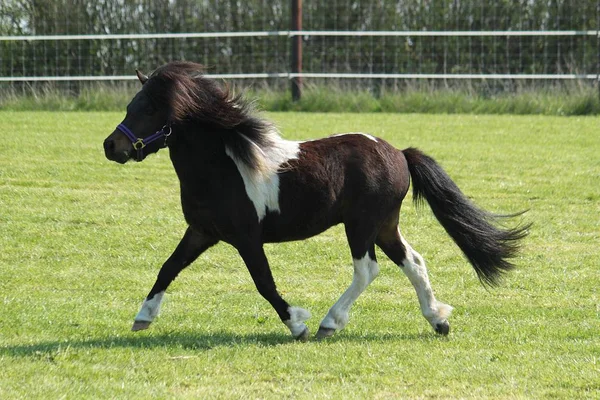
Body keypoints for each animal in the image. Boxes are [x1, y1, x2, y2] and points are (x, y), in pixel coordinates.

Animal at [104, 61, 528, 340]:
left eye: (149, 109)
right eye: (130, 106)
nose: (111, 146)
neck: (222, 166)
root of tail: (398, 153)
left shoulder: (245, 237)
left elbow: (264, 283)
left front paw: (298, 324)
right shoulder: (202, 231)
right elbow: (168, 268)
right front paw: (143, 317)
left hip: (361, 225)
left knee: (367, 270)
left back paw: (329, 322)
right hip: (384, 226)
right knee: (414, 262)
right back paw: (438, 320)